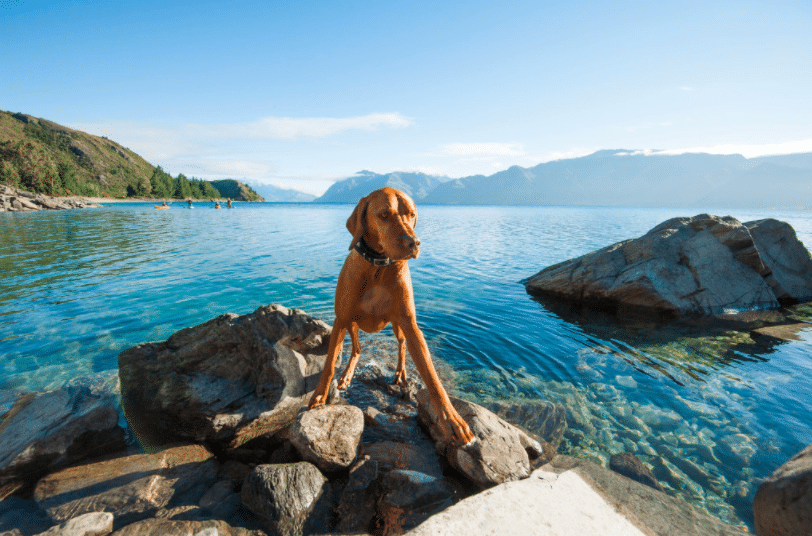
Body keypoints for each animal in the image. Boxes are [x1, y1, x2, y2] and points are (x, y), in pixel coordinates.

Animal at [310, 186, 476, 446]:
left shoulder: (410, 323)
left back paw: (400, 372)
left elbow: (432, 377)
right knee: (357, 348)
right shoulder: (341, 319)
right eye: (384, 215)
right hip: (352, 323)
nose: (415, 243)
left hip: (397, 325)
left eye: (411, 214)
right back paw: (347, 375)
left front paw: (453, 422)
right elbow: (328, 365)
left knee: (401, 344)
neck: (378, 267)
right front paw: (319, 397)